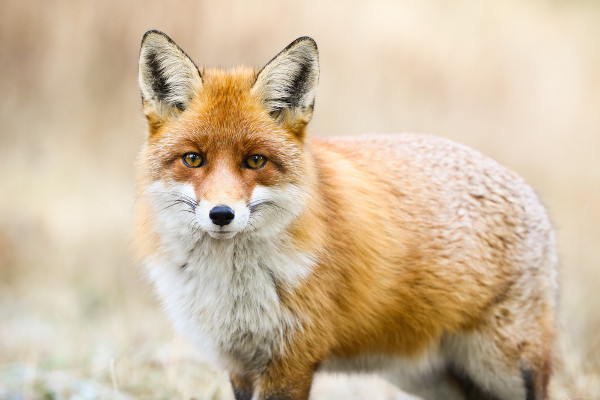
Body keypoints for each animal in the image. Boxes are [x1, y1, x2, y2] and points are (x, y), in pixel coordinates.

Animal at [135, 29, 556, 398]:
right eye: (193, 159)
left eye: (255, 160)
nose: (221, 214)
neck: (232, 288)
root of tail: (531, 193)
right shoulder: (238, 363)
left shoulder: (292, 359)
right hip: (429, 378)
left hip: (503, 366)